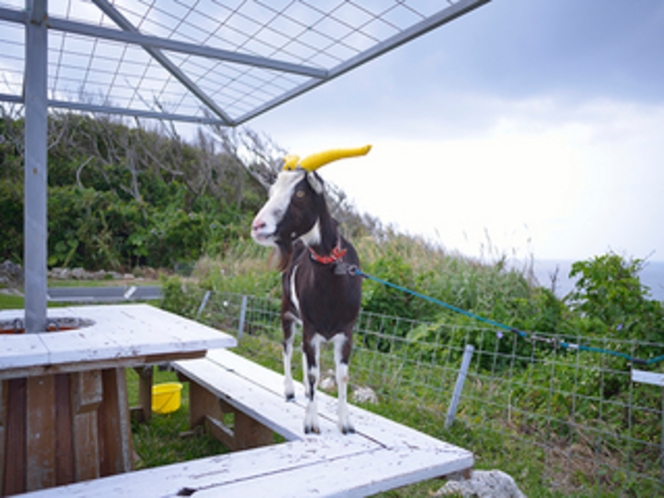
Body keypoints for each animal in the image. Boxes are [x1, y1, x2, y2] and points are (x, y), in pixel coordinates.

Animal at [252, 146, 370, 434]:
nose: (257, 226)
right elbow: (314, 372)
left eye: (300, 193)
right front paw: (311, 423)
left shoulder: (346, 332)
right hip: (287, 312)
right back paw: (290, 390)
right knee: (288, 347)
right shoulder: (310, 327)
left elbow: (341, 375)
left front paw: (345, 423)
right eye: (272, 191)